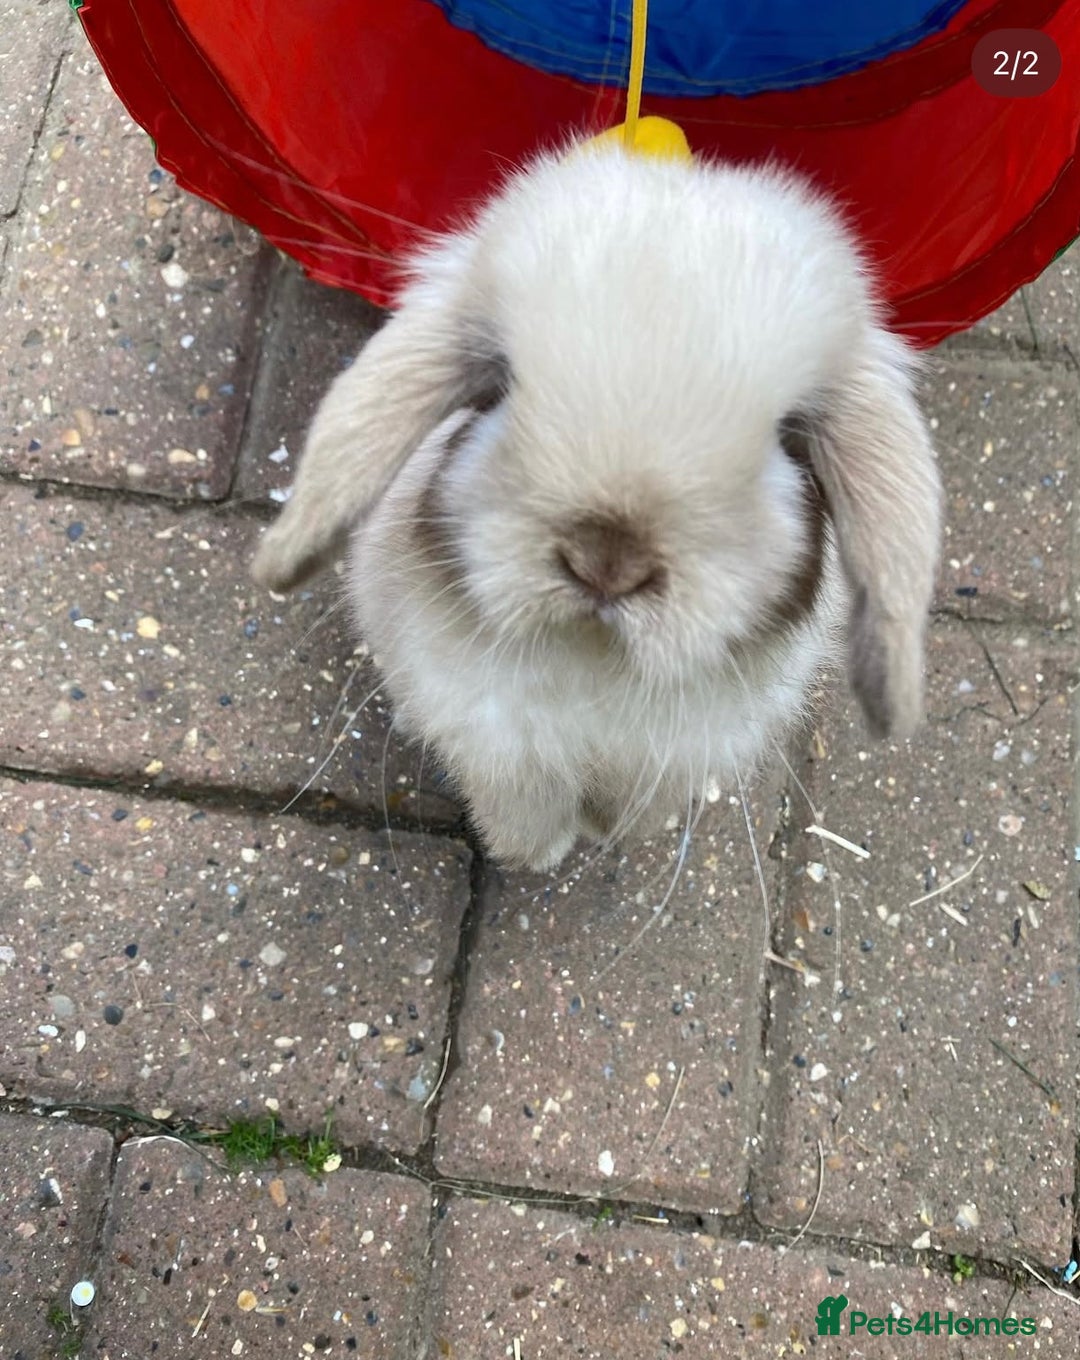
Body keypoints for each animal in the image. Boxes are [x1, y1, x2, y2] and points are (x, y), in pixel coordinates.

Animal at [252, 141, 942, 872]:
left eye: (787, 437)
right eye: (500, 385)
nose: (606, 563)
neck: (594, 655)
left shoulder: (662, 761)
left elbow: (632, 808)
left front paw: (615, 834)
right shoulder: (501, 748)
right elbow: (521, 812)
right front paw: (534, 856)